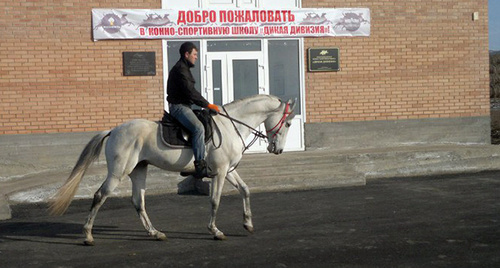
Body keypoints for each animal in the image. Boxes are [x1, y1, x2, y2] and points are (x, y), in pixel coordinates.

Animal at [48, 94, 294, 245]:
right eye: (289, 123)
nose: (277, 149)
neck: (230, 125)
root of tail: (113, 130)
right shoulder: (221, 171)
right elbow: (215, 201)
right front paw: (215, 231)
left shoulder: (228, 170)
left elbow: (245, 190)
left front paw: (248, 224)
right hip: (118, 173)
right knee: (100, 196)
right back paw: (88, 236)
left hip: (138, 171)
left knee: (138, 202)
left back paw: (155, 233)